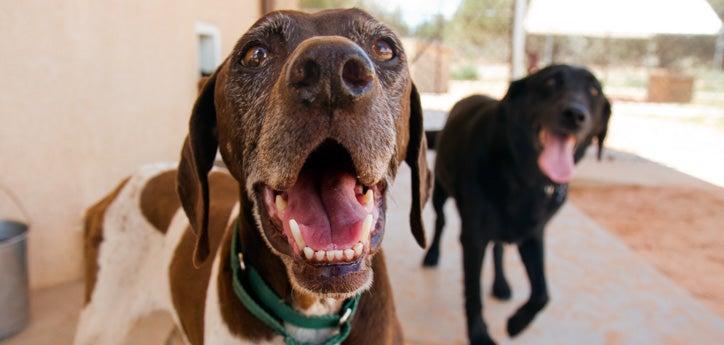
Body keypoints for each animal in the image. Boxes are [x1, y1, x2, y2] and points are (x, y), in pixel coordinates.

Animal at [422, 65, 612, 344]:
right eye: (551, 81)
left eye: (594, 91)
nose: (575, 114)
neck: (524, 177)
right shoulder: (473, 238)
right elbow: (473, 293)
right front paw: (479, 334)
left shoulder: (533, 234)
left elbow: (542, 293)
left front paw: (517, 323)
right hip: (441, 191)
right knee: (440, 221)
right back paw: (432, 254)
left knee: (499, 248)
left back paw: (500, 283)